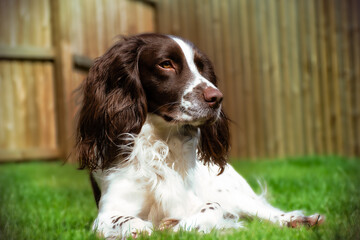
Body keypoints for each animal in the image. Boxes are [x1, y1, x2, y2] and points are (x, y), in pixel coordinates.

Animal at [74, 33, 324, 238]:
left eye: (201, 68)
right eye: (166, 64)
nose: (217, 98)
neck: (160, 143)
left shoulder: (193, 201)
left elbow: (212, 207)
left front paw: (179, 226)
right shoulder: (108, 210)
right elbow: (126, 221)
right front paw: (142, 227)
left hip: (234, 192)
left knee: (262, 210)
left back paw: (299, 220)